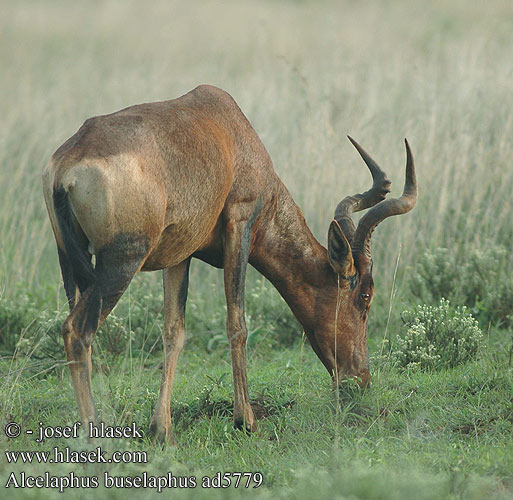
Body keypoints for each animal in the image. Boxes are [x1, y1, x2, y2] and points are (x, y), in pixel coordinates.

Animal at [41, 84, 416, 444]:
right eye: (365, 296)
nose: (360, 380)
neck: (233, 132)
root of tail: (66, 167)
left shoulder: (180, 255)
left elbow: (173, 332)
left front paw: (163, 430)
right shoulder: (241, 222)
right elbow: (238, 324)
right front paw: (246, 421)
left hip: (70, 261)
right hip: (121, 261)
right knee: (77, 331)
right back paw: (95, 436)